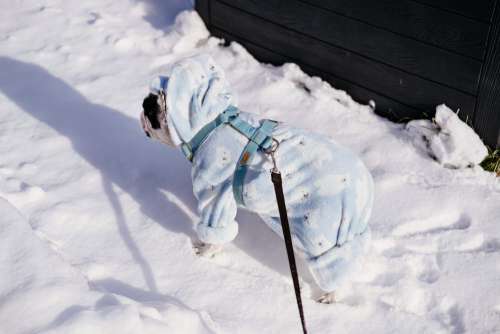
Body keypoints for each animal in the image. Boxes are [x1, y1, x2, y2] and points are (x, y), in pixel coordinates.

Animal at [139, 54, 374, 302]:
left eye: (150, 108)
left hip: (321, 229)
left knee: (335, 264)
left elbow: (214, 228)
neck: (210, 124)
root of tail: (367, 190)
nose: (142, 106)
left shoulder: (214, 194)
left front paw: (204, 251)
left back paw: (329, 296)